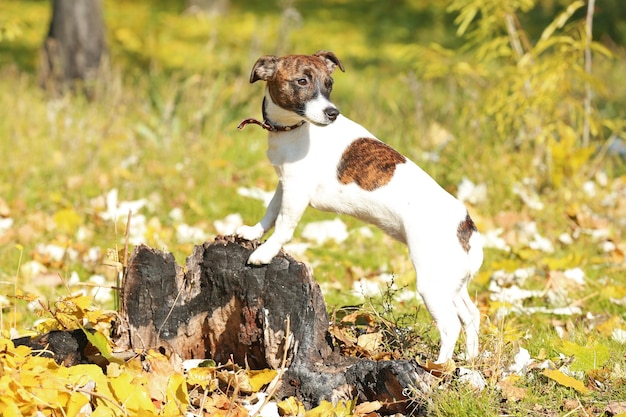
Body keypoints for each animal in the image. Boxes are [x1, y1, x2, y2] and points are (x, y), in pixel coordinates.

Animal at [234, 50, 482, 362]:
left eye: (329, 84)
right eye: (302, 81)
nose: (332, 113)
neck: (294, 127)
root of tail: (467, 224)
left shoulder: (297, 191)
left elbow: (283, 226)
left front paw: (265, 252)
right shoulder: (285, 184)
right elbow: (270, 212)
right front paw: (253, 233)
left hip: (432, 282)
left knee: (450, 326)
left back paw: (439, 367)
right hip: (452, 281)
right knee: (471, 316)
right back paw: (470, 361)